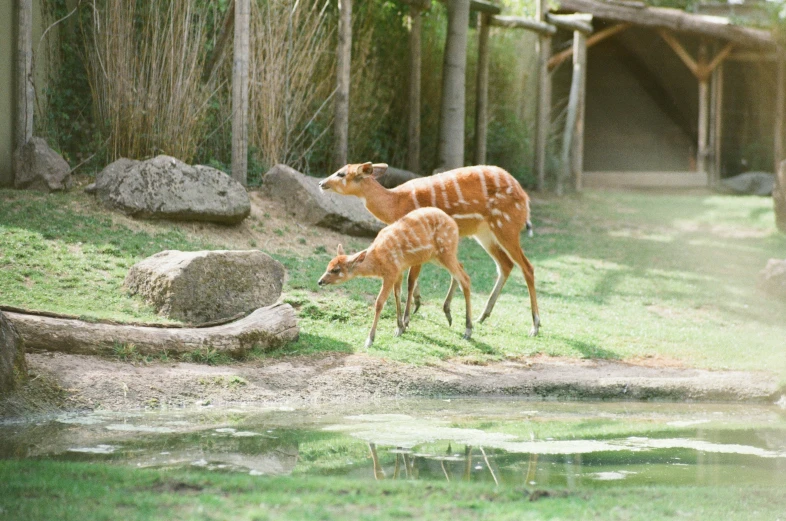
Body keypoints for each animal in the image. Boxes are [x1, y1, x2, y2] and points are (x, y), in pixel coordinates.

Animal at [318, 161, 540, 338]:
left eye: (341, 173)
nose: (321, 183)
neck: (395, 203)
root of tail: (525, 198)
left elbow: (410, 280)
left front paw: (406, 321)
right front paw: (415, 309)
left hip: (506, 227)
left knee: (527, 267)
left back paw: (535, 326)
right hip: (484, 233)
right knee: (505, 265)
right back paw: (480, 317)